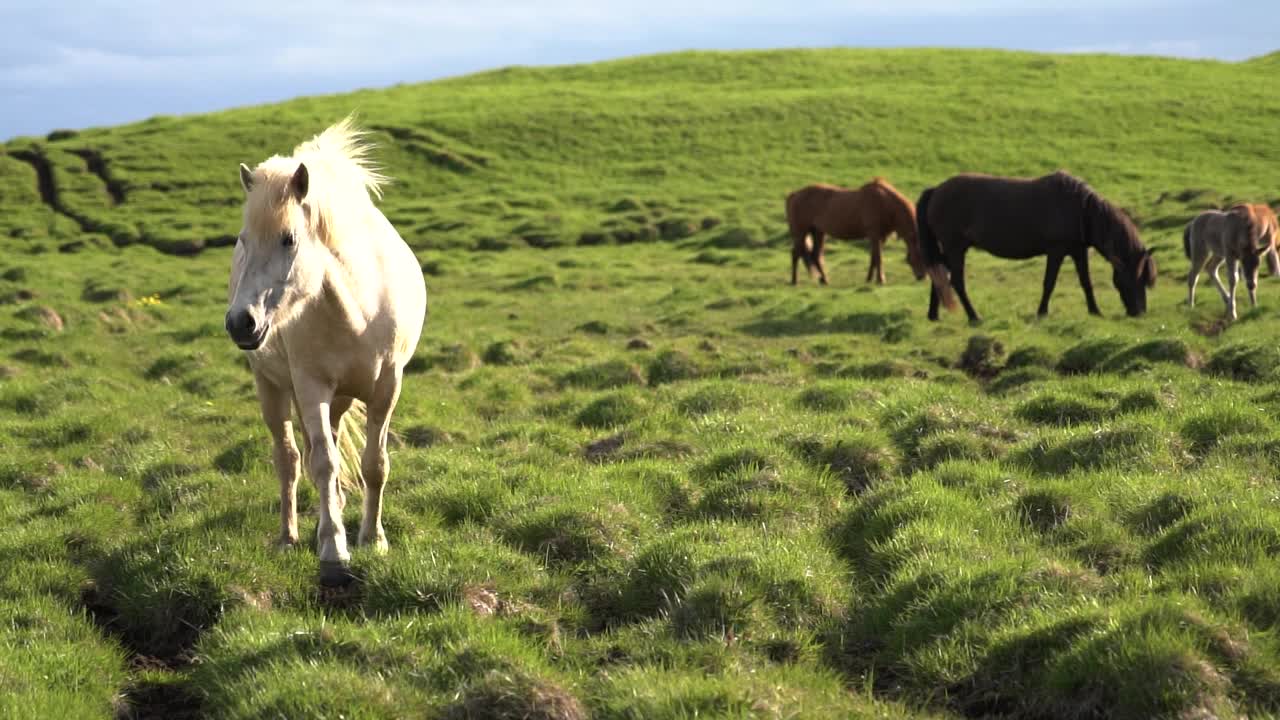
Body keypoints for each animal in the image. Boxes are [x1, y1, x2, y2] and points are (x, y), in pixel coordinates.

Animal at [226, 117, 430, 584]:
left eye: (288, 239)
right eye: (244, 240)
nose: (241, 322)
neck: (358, 309)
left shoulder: (387, 386)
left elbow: (374, 463)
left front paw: (373, 539)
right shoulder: (310, 386)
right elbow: (322, 464)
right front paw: (334, 552)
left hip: (338, 399)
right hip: (273, 388)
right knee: (290, 458)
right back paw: (290, 537)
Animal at [783, 178, 926, 284]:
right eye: (920, 254)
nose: (922, 277)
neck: (885, 203)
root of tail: (793, 194)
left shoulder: (880, 237)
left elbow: (874, 258)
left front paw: (869, 279)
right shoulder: (874, 234)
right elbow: (878, 258)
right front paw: (881, 280)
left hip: (818, 232)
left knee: (816, 255)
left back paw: (824, 280)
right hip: (801, 233)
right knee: (795, 254)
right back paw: (794, 281)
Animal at [916, 169, 1157, 320]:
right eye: (1135, 278)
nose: (1139, 312)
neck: (1081, 210)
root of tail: (936, 190)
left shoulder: (1078, 251)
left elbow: (1086, 282)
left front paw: (1095, 311)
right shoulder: (1056, 251)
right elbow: (1049, 283)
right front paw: (1042, 312)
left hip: (951, 248)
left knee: (940, 274)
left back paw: (933, 315)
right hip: (955, 247)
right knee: (956, 281)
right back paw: (974, 317)